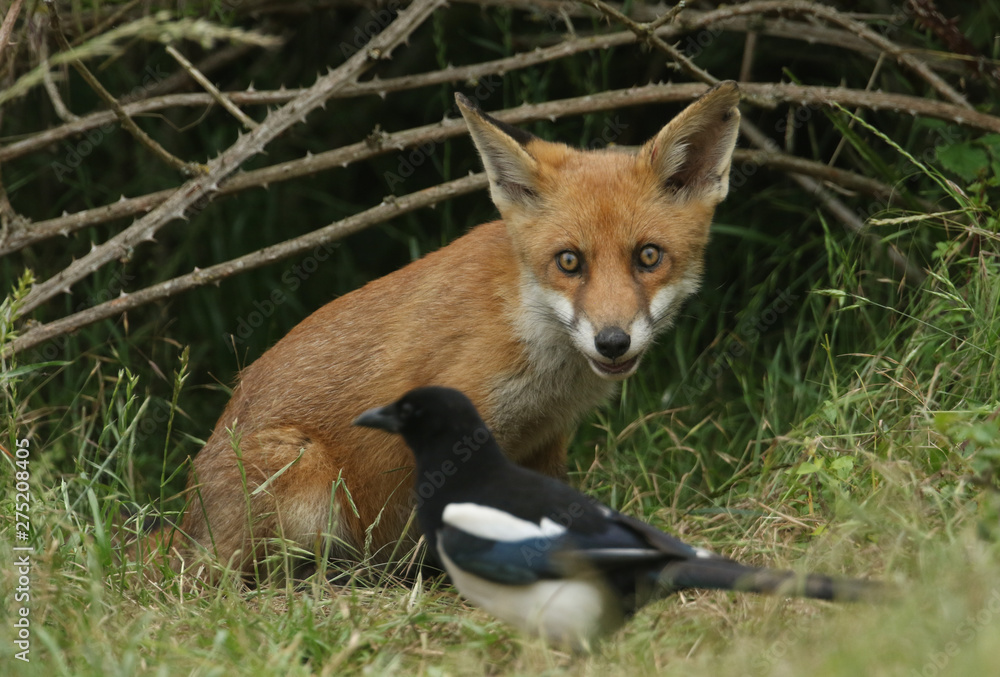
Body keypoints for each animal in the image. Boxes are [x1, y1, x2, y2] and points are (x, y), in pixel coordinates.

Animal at [161, 82, 742, 576]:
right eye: (569, 262)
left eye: (649, 257)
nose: (613, 341)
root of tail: (186, 523)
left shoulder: (545, 439)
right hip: (304, 481)